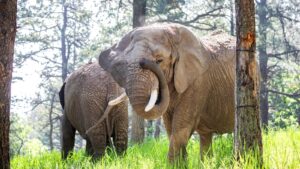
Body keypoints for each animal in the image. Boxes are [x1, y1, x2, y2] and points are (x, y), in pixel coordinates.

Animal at [99, 23, 237, 162]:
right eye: (126, 63)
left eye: (159, 60)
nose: (144, 62)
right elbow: (170, 129)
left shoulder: (197, 83)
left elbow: (181, 130)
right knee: (205, 136)